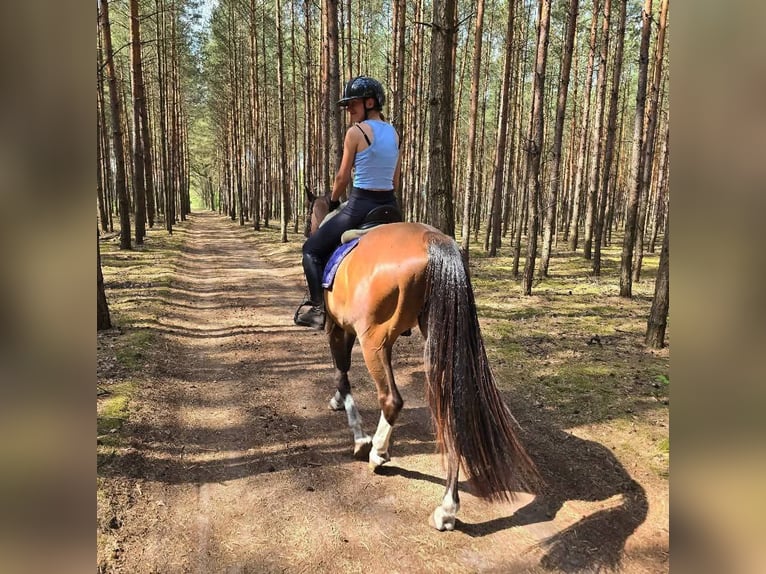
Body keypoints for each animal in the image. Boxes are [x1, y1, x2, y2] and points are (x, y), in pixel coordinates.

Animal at [302, 191, 541, 530]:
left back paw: (378, 453)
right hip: (439, 335)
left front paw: (360, 437)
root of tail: (433, 241)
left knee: (391, 399)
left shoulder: (337, 327)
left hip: (374, 340)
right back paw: (447, 508)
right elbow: (341, 373)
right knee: (450, 410)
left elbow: (342, 373)